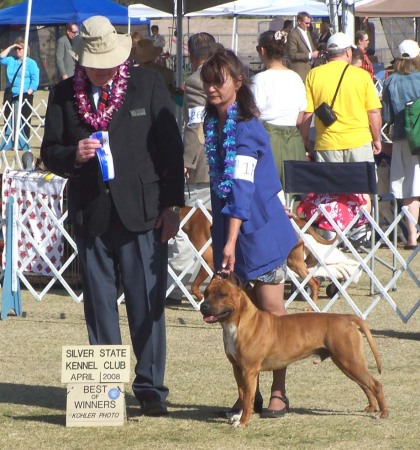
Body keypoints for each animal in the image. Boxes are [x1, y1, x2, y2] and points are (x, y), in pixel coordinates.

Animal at [199, 274, 388, 426]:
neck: (240, 322)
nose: (203, 306)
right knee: (365, 384)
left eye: (222, 294)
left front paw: (243, 422)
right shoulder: (238, 369)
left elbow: (248, 399)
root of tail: (346, 318)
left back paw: (383, 413)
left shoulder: (249, 370)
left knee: (375, 384)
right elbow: (243, 394)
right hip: (347, 363)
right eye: (206, 293)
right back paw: (372, 408)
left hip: (350, 361)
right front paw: (238, 417)